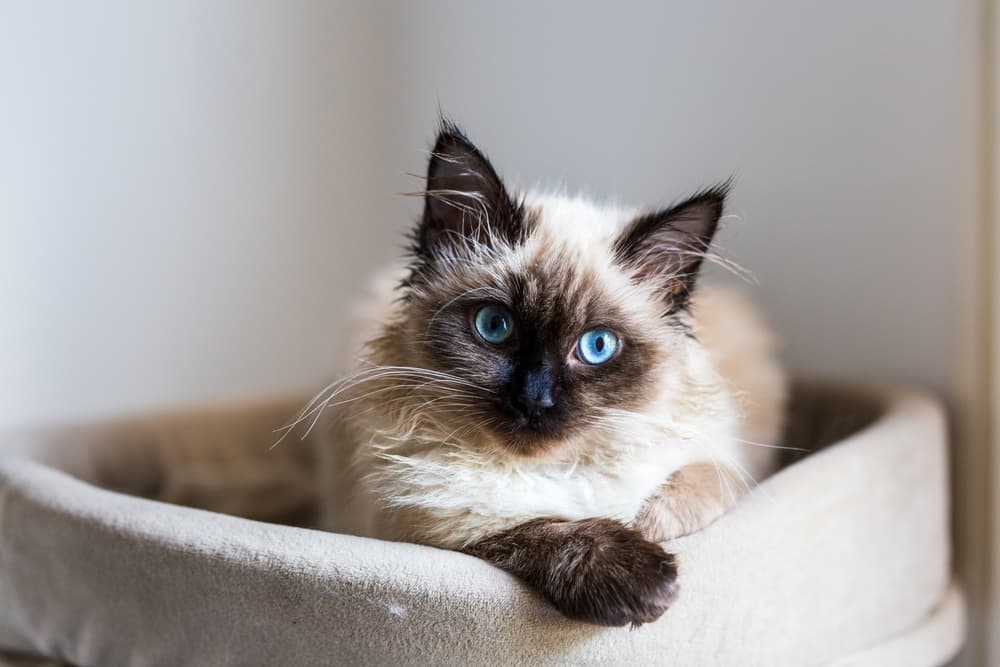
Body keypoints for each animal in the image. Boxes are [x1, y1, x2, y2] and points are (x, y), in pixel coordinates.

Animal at [308, 122, 784, 628]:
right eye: (494, 327)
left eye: (597, 347)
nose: (534, 400)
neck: (550, 470)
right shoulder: (424, 524)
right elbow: (533, 529)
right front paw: (643, 581)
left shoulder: (721, 459)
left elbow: (682, 494)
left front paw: (645, 525)